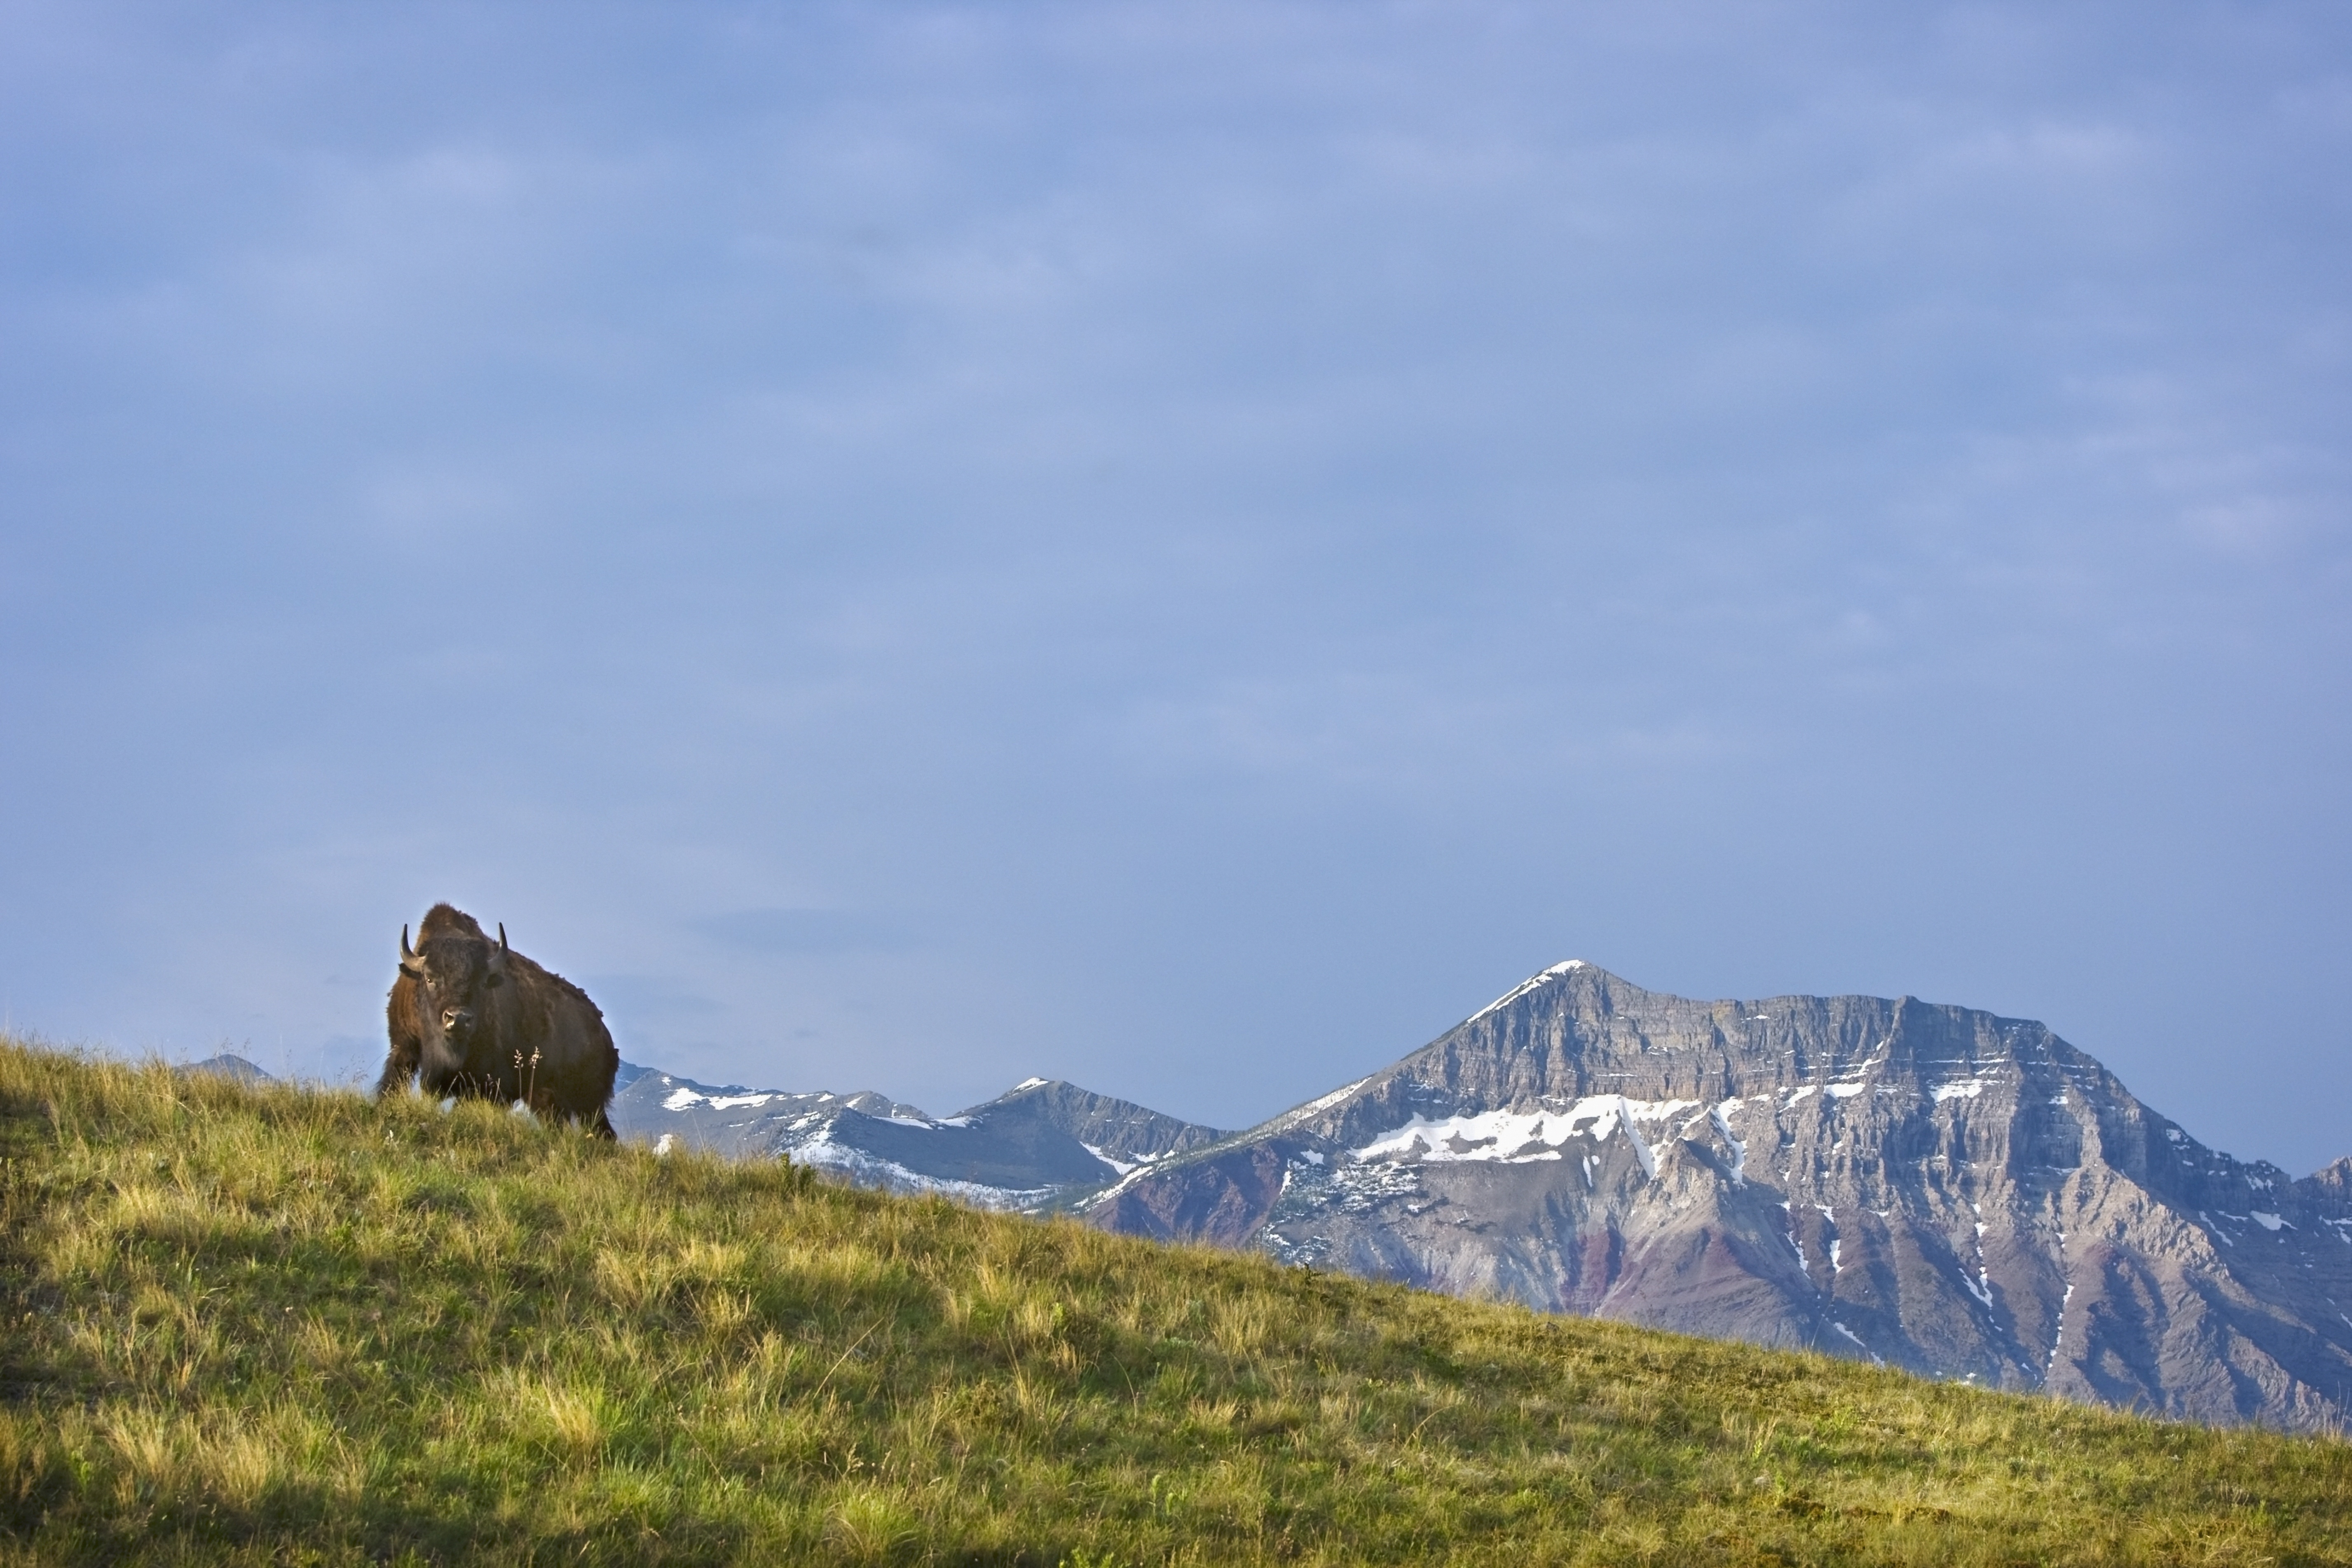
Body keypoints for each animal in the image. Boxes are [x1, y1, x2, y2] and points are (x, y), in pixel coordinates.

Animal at [380, 902, 619, 1137]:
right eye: (430, 979)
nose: (458, 1020)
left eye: (481, 982)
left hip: (588, 1100)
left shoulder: (489, 1083)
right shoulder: (403, 1048)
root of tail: (603, 1030)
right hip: (546, 1098)